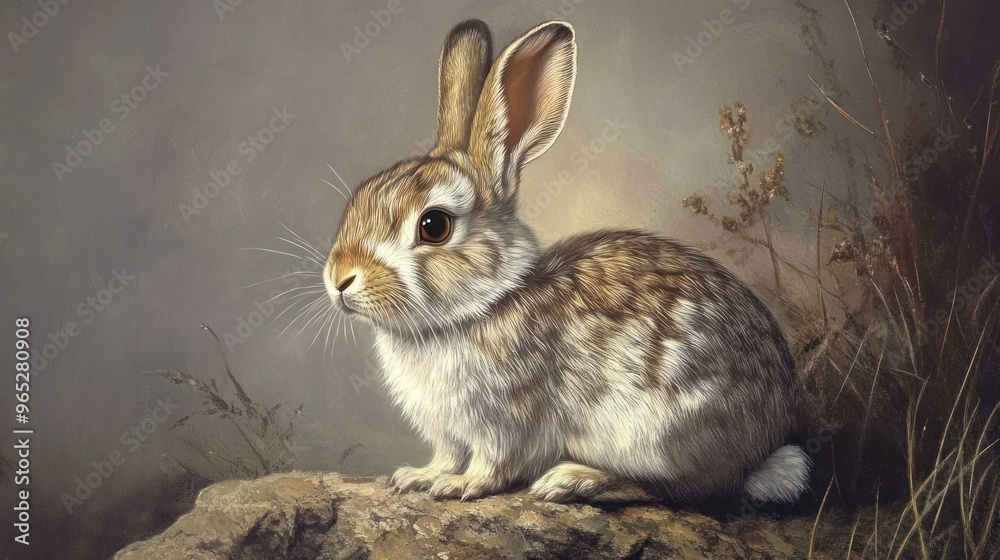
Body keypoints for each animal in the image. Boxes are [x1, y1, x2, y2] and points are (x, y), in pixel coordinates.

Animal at [323, 18, 810, 506]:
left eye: (434, 226)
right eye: (359, 197)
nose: (339, 279)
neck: (483, 305)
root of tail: (763, 447)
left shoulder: (507, 422)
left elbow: (493, 464)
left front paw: (459, 485)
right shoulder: (448, 433)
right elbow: (446, 454)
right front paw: (418, 476)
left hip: (662, 433)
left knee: (684, 488)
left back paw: (573, 479)